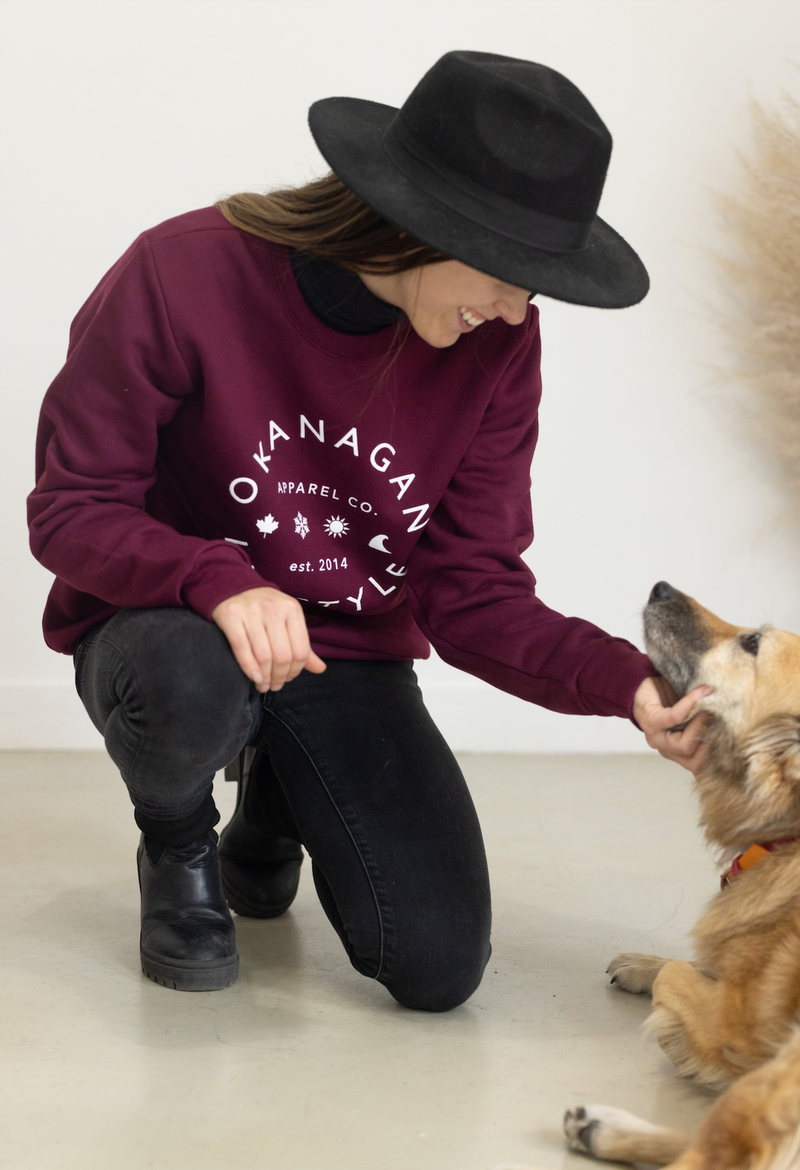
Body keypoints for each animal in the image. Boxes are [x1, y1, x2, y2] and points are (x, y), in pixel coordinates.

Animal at [561, 582, 799, 1170]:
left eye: (753, 642)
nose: (660, 587)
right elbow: (683, 963)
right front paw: (643, 967)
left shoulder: (739, 1018)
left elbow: (680, 977)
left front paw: (676, 1035)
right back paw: (599, 1126)